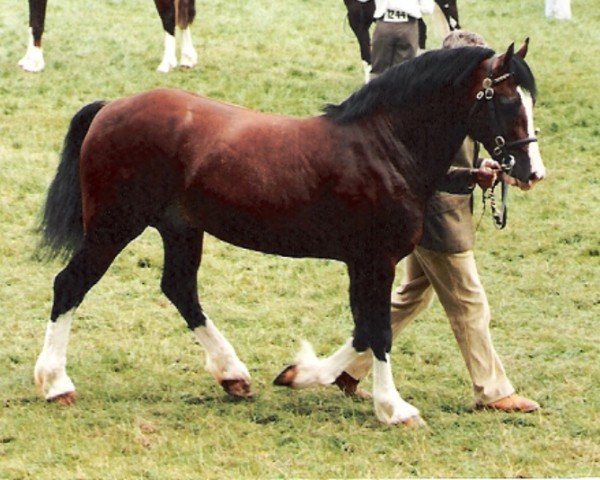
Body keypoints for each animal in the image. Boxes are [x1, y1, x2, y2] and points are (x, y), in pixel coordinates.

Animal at [18, 0, 197, 73]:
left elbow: (37, 23)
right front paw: (28, 59)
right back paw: (187, 58)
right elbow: (32, 23)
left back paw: (167, 63)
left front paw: (35, 63)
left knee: (169, 16)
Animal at [35, 41, 548, 424]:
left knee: (180, 290)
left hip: (181, 230)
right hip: (113, 226)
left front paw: (299, 375)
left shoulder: (362, 263)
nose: (531, 172)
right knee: (70, 285)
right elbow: (378, 331)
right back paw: (56, 384)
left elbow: (364, 331)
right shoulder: (376, 260)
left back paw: (233, 376)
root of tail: (111, 108)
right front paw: (394, 409)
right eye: (506, 100)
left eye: (531, 100)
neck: (385, 145)